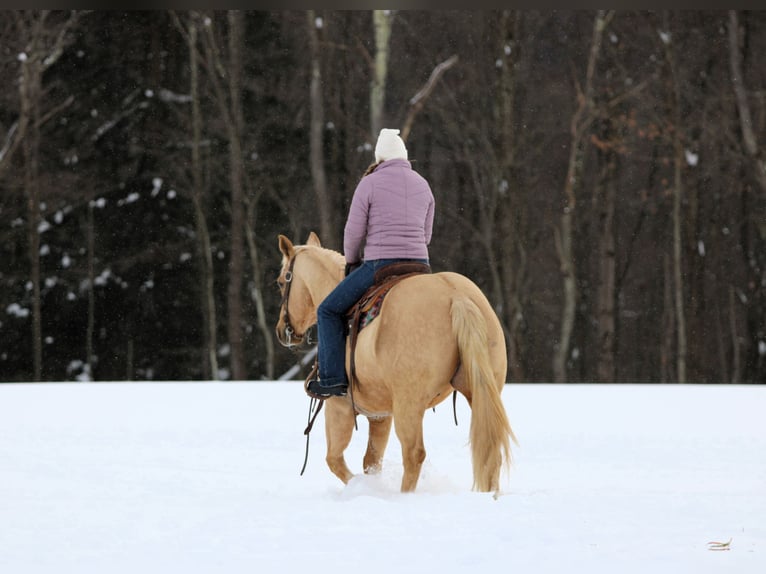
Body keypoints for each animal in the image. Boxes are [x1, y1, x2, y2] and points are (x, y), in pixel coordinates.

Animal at [275, 232, 517, 493]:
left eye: (280, 282)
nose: (282, 331)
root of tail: (457, 296)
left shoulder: (339, 408)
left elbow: (335, 460)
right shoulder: (381, 415)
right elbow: (371, 461)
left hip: (408, 404)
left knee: (413, 454)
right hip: (481, 392)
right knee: (490, 449)